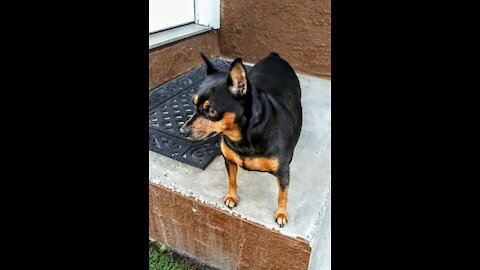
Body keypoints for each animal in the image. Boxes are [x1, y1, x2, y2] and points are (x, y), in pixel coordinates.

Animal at [180, 51, 300, 227]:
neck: (243, 137)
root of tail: (274, 56)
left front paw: (281, 213)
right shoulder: (229, 161)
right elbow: (231, 180)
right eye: (194, 104)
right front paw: (231, 196)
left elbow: (282, 194)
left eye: (211, 111)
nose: (182, 131)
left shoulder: (283, 172)